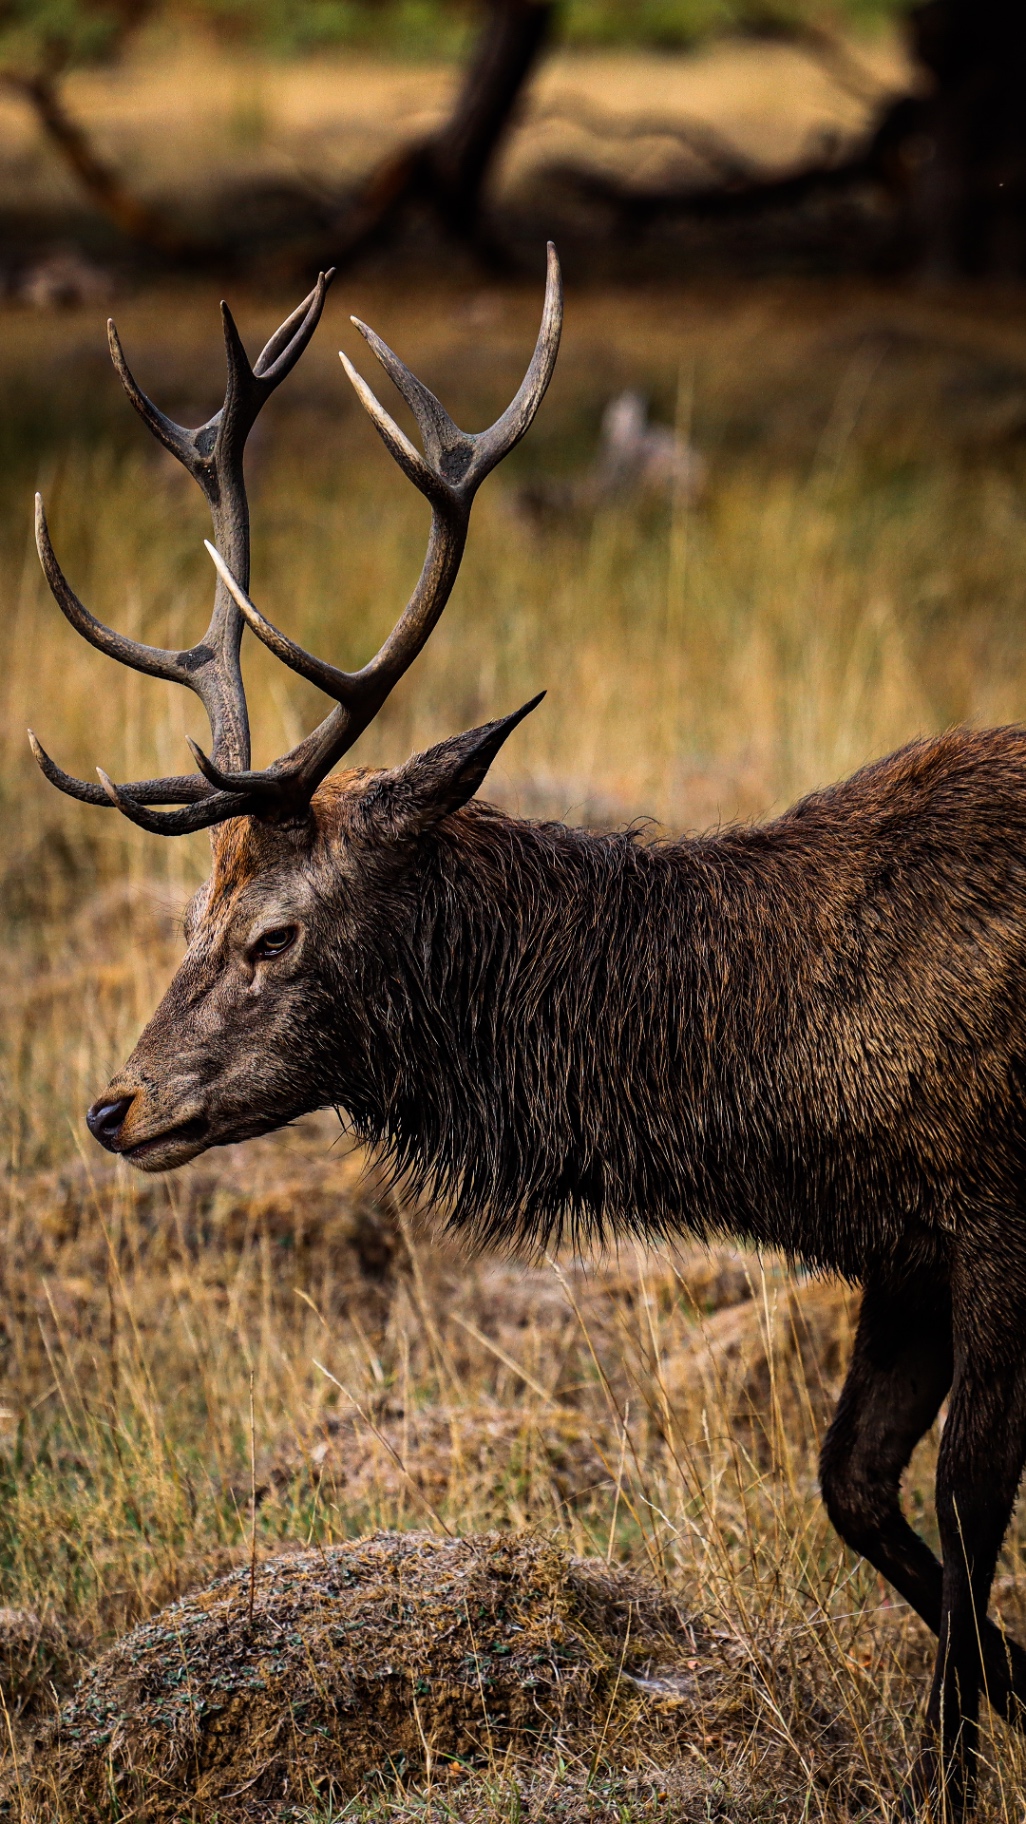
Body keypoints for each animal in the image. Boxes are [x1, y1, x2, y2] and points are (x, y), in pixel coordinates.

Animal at [26, 246, 1026, 1817]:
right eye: (197, 910)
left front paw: (954, 1766)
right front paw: (1005, 1695)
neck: (802, 1109)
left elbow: (964, 1497)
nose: (114, 1106)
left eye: (272, 935)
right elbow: (854, 1486)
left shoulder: (993, 1216)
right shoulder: (901, 1248)